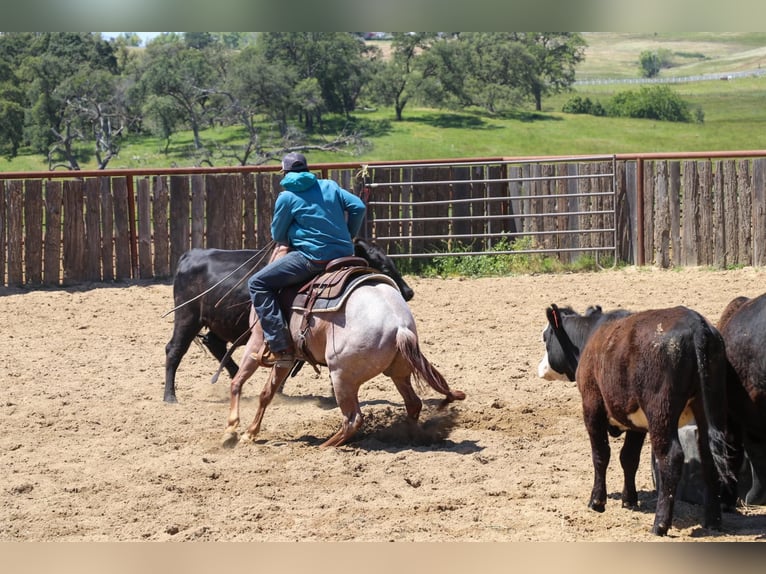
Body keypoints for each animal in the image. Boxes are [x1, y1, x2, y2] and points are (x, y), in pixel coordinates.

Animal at [536, 306, 736, 540]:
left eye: (545, 337)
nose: (540, 367)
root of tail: (697, 326)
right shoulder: (637, 424)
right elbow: (629, 458)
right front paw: (629, 499)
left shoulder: (592, 406)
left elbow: (600, 455)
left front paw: (597, 501)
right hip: (710, 407)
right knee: (710, 457)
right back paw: (713, 520)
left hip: (660, 412)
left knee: (671, 458)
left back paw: (660, 524)